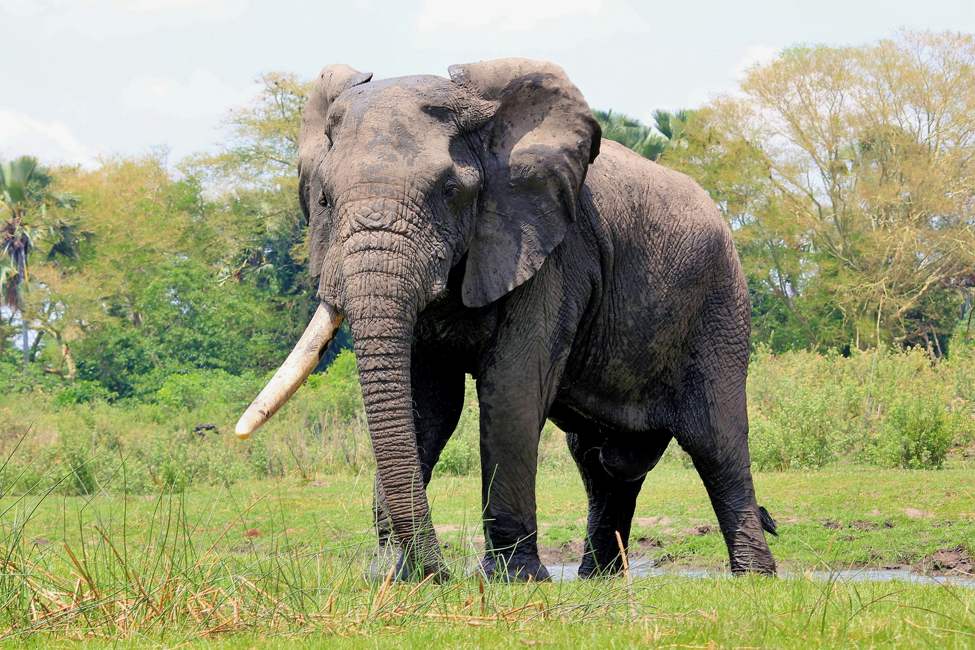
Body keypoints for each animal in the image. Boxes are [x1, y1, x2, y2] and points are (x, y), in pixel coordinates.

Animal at [235, 58, 778, 581]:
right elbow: (426, 401)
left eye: (449, 190)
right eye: (324, 200)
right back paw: (598, 578)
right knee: (601, 462)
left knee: (715, 442)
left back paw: (753, 576)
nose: (440, 573)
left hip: (719, 303)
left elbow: (512, 388)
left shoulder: (549, 249)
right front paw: (390, 576)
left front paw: (513, 578)